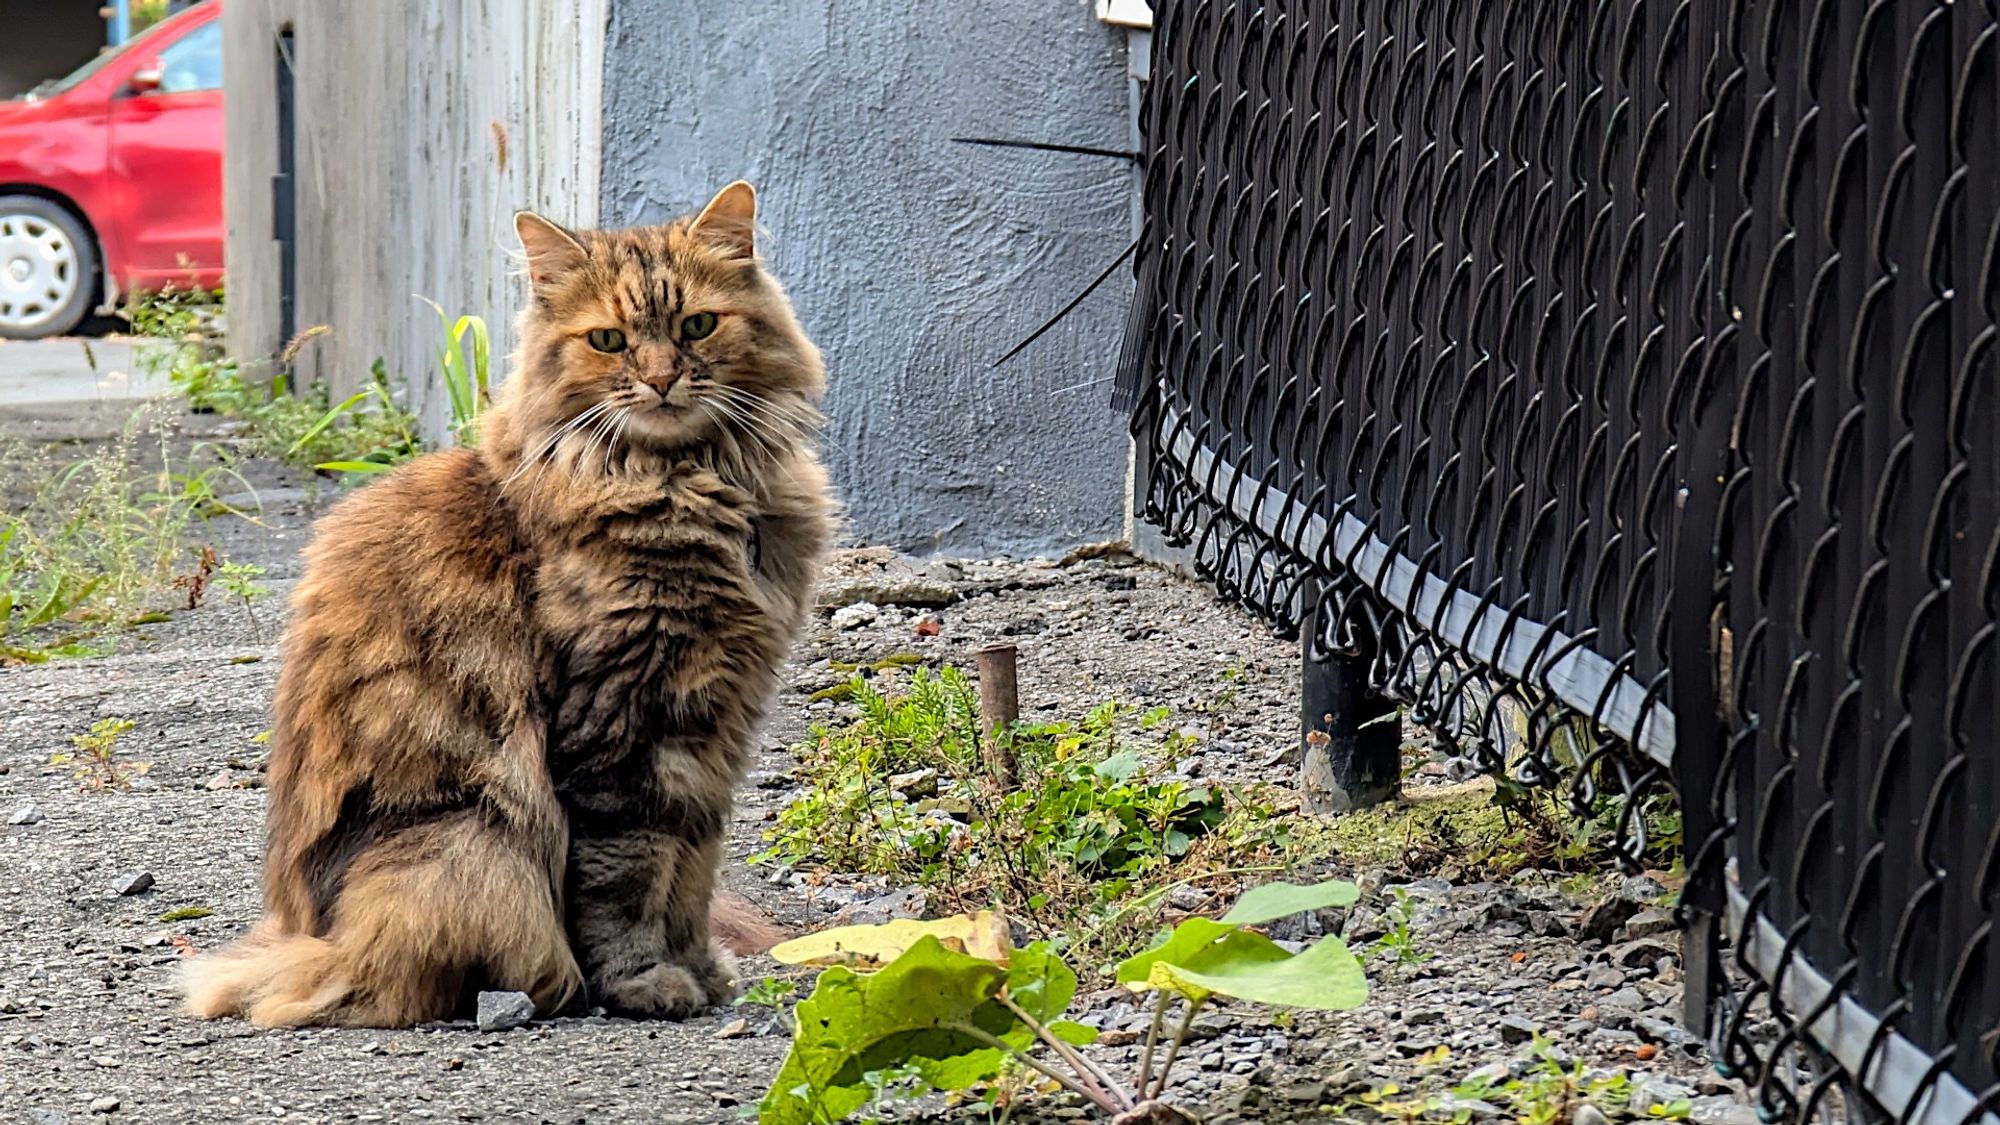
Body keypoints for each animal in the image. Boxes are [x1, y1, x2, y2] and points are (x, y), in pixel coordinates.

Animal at [186, 182, 836, 1024]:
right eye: (608, 341)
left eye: (698, 325)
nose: (662, 378)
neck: (690, 480)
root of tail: (314, 938)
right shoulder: (620, 725)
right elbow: (628, 877)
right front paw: (644, 981)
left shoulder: (710, 723)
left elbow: (693, 869)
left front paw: (703, 967)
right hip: (475, 841)